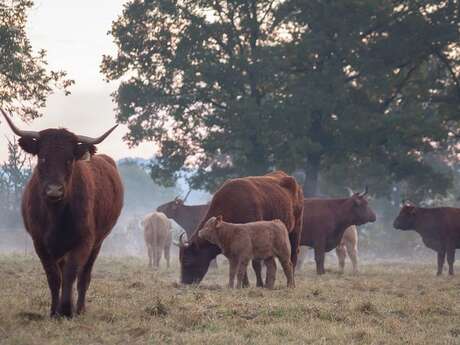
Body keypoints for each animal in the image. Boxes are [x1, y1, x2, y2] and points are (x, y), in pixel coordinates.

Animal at [1, 110, 124, 318]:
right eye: (42, 157)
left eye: (69, 160)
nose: (54, 190)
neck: (55, 215)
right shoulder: (40, 243)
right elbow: (53, 277)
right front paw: (54, 311)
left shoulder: (85, 240)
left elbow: (71, 274)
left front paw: (66, 310)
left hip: (98, 243)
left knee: (84, 276)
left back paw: (80, 308)